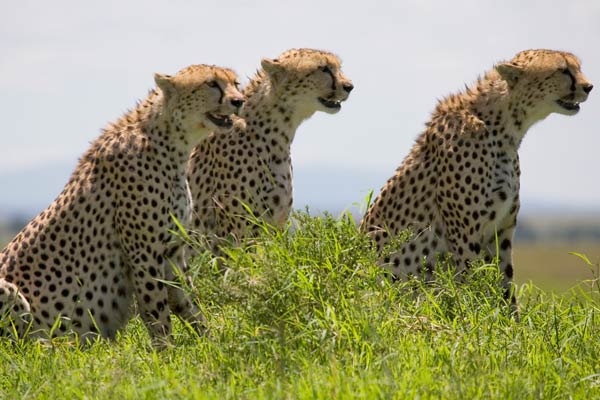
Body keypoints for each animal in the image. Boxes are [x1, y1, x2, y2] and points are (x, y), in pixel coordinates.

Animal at [0, 63, 245, 344]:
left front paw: (210, 340)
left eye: (235, 83)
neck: (171, 142)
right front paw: (166, 351)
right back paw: (55, 346)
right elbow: (157, 311)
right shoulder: (144, 253)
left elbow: (186, 301)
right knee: (23, 348)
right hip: (7, 291)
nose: (239, 101)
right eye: (211, 84)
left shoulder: (172, 250)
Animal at [360, 48, 592, 308]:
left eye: (578, 67)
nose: (589, 87)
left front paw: (509, 318)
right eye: (563, 70)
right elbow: (471, 286)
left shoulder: (501, 231)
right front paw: (472, 314)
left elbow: (505, 286)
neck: (503, 127)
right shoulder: (465, 235)